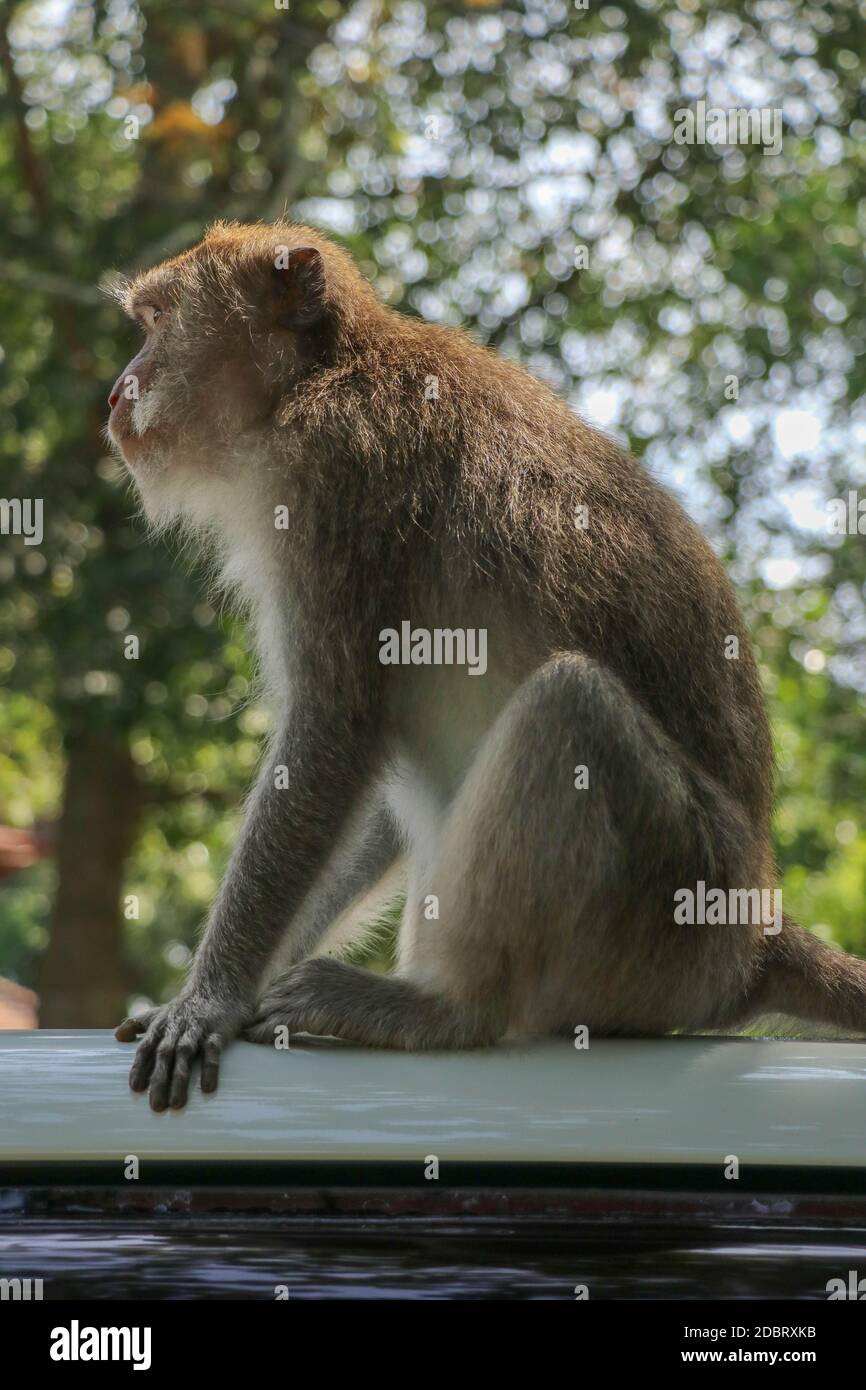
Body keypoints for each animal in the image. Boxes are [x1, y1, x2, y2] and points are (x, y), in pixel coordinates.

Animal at [107, 219, 866, 1106]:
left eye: (158, 321)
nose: (117, 392)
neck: (317, 379)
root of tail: (754, 938)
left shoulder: (337, 483)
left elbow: (334, 732)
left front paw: (209, 998)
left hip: (674, 913)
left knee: (568, 708)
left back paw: (447, 1008)